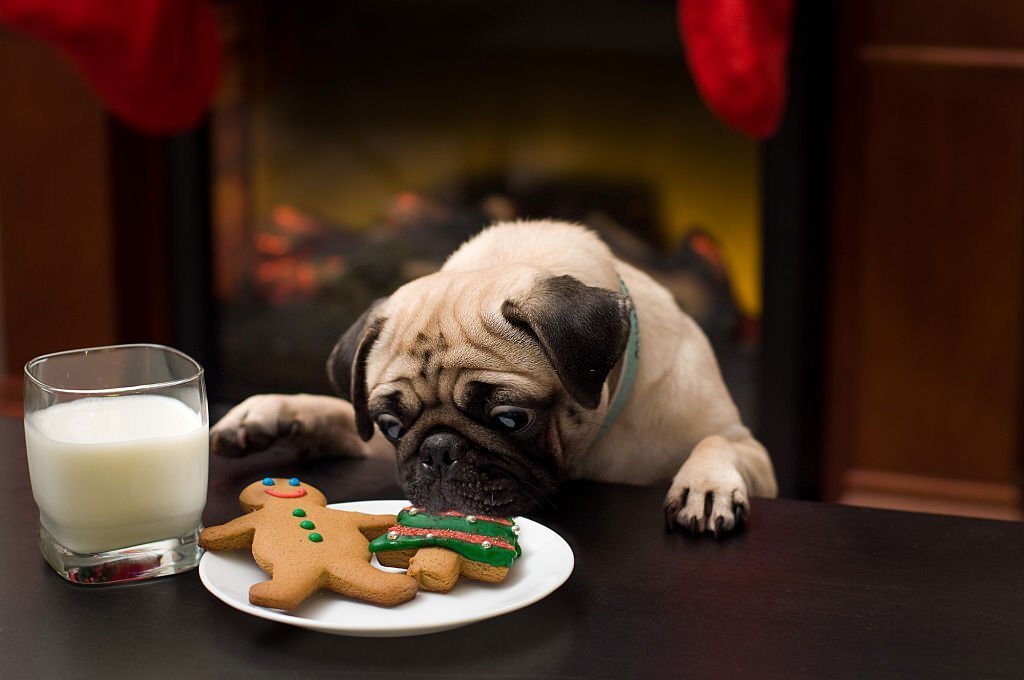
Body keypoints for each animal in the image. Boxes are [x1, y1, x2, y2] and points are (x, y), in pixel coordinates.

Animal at [214, 220, 774, 532]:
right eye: (392, 427)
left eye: (510, 419)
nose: (438, 451)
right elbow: (335, 412)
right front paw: (272, 412)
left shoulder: (753, 454)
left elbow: (716, 443)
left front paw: (705, 486)